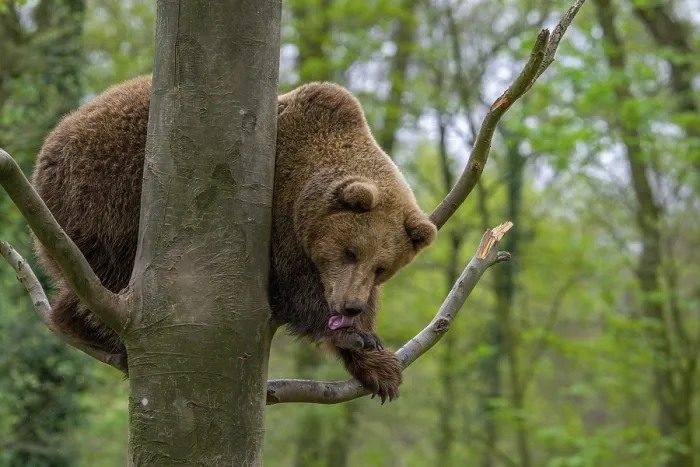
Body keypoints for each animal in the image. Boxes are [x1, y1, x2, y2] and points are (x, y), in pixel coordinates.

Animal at [31, 75, 437, 402]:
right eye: (350, 252)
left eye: (382, 268)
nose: (349, 307)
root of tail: (45, 149)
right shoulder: (279, 214)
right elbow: (296, 289)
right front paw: (353, 337)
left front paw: (380, 365)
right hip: (105, 197)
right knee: (110, 279)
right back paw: (98, 333)